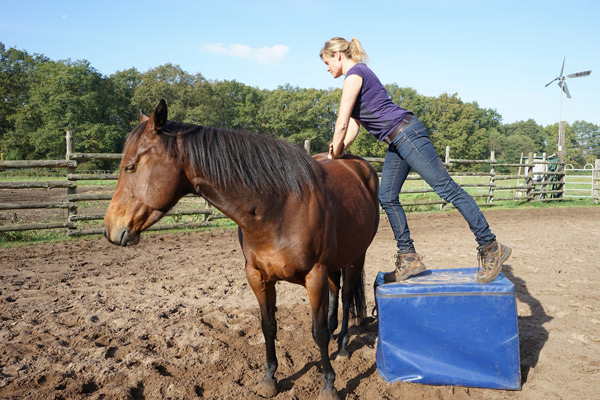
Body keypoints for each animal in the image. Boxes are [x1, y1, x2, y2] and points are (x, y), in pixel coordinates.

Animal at [101, 99, 378, 396]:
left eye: (130, 167)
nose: (109, 229)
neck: (278, 208)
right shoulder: (257, 276)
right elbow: (268, 326)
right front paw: (269, 378)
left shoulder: (314, 275)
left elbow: (318, 333)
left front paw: (328, 384)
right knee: (335, 291)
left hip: (356, 256)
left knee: (347, 296)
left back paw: (343, 346)